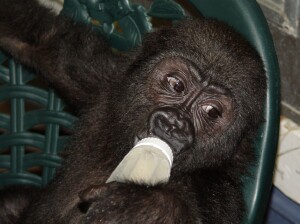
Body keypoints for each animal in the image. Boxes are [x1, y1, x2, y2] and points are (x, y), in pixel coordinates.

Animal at [0, 0, 268, 223]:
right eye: (176, 84)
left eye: (212, 111)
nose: (173, 124)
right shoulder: (107, 79)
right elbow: (42, 40)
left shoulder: (217, 195)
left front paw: (150, 206)